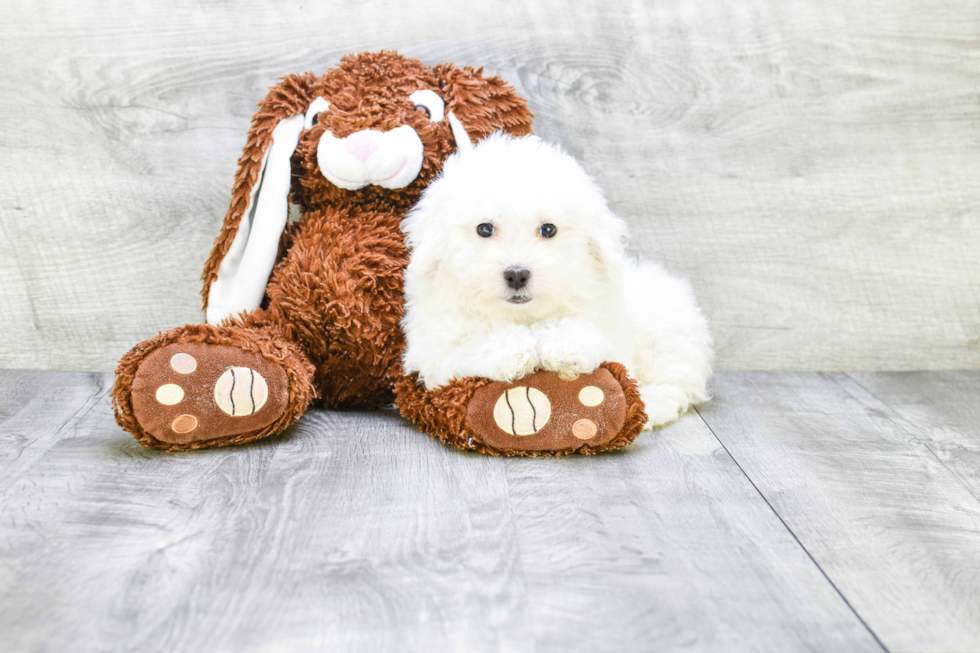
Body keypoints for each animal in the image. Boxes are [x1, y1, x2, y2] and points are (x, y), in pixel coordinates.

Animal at [398, 133, 712, 428]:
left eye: (548, 229)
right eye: (484, 229)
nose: (517, 274)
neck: (524, 317)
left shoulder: (613, 335)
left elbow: (598, 343)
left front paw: (563, 344)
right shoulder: (432, 354)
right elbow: (464, 350)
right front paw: (513, 348)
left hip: (669, 331)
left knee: (677, 382)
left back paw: (653, 406)